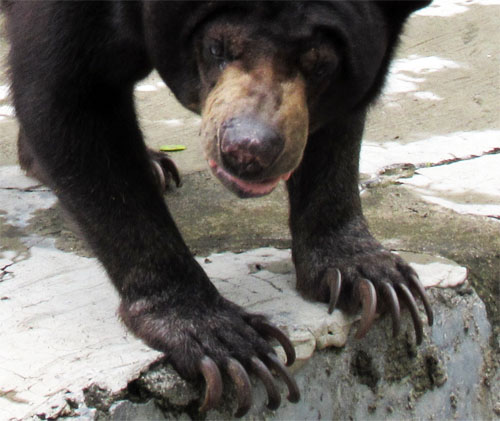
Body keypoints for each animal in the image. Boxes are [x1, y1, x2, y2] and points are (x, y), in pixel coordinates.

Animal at [2, 0, 434, 414]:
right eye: (216, 48)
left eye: (321, 65)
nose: (249, 151)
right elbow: (68, 98)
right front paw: (223, 341)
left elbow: (336, 128)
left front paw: (369, 275)